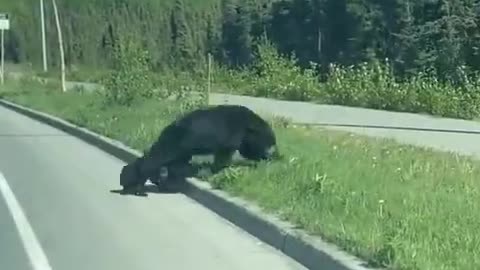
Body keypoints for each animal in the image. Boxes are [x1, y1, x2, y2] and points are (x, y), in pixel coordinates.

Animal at [118, 104, 282, 195]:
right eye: (270, 141)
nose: (271, 151)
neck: (249, 125)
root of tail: (167, 129)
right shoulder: (233, 133)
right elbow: (227, 153)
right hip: (175, 143)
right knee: (155, 159)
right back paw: (136, 185)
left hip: (180, 148)